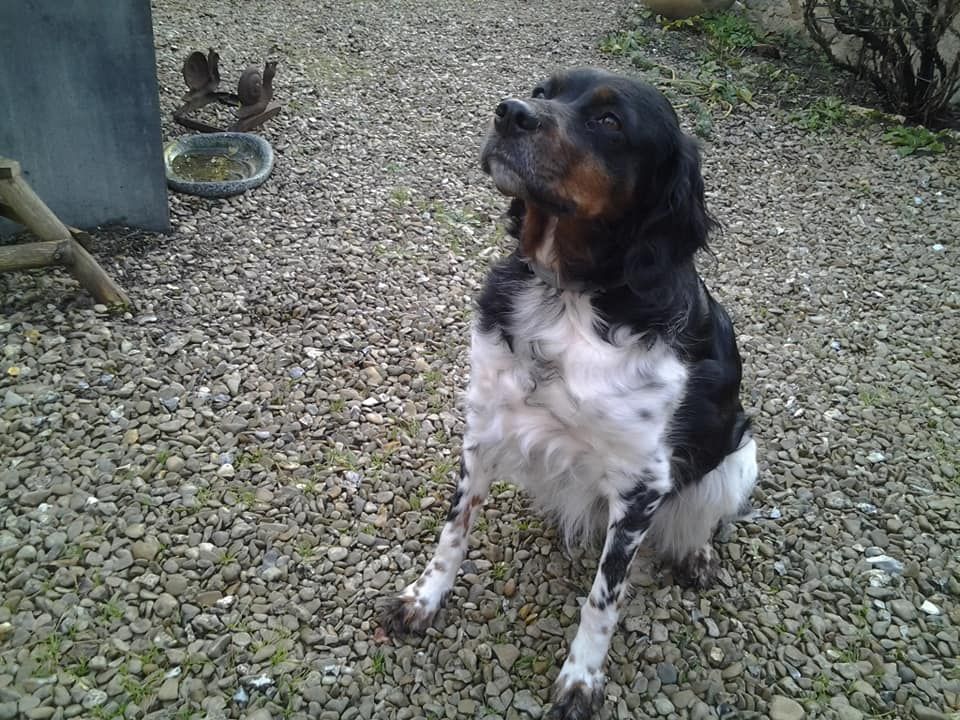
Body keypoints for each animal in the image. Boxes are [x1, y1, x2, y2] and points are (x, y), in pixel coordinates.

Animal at [378, 69, 760, 720]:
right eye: (544, 91)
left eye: (609, 121)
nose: (509, 113)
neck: (567, 298)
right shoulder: (485, 425)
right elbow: (453, 531)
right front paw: (424, 598)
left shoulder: (641, 483)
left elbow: (603, 600)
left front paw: (581, 679)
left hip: (742, 456)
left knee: (705, 515)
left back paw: (697, 553)